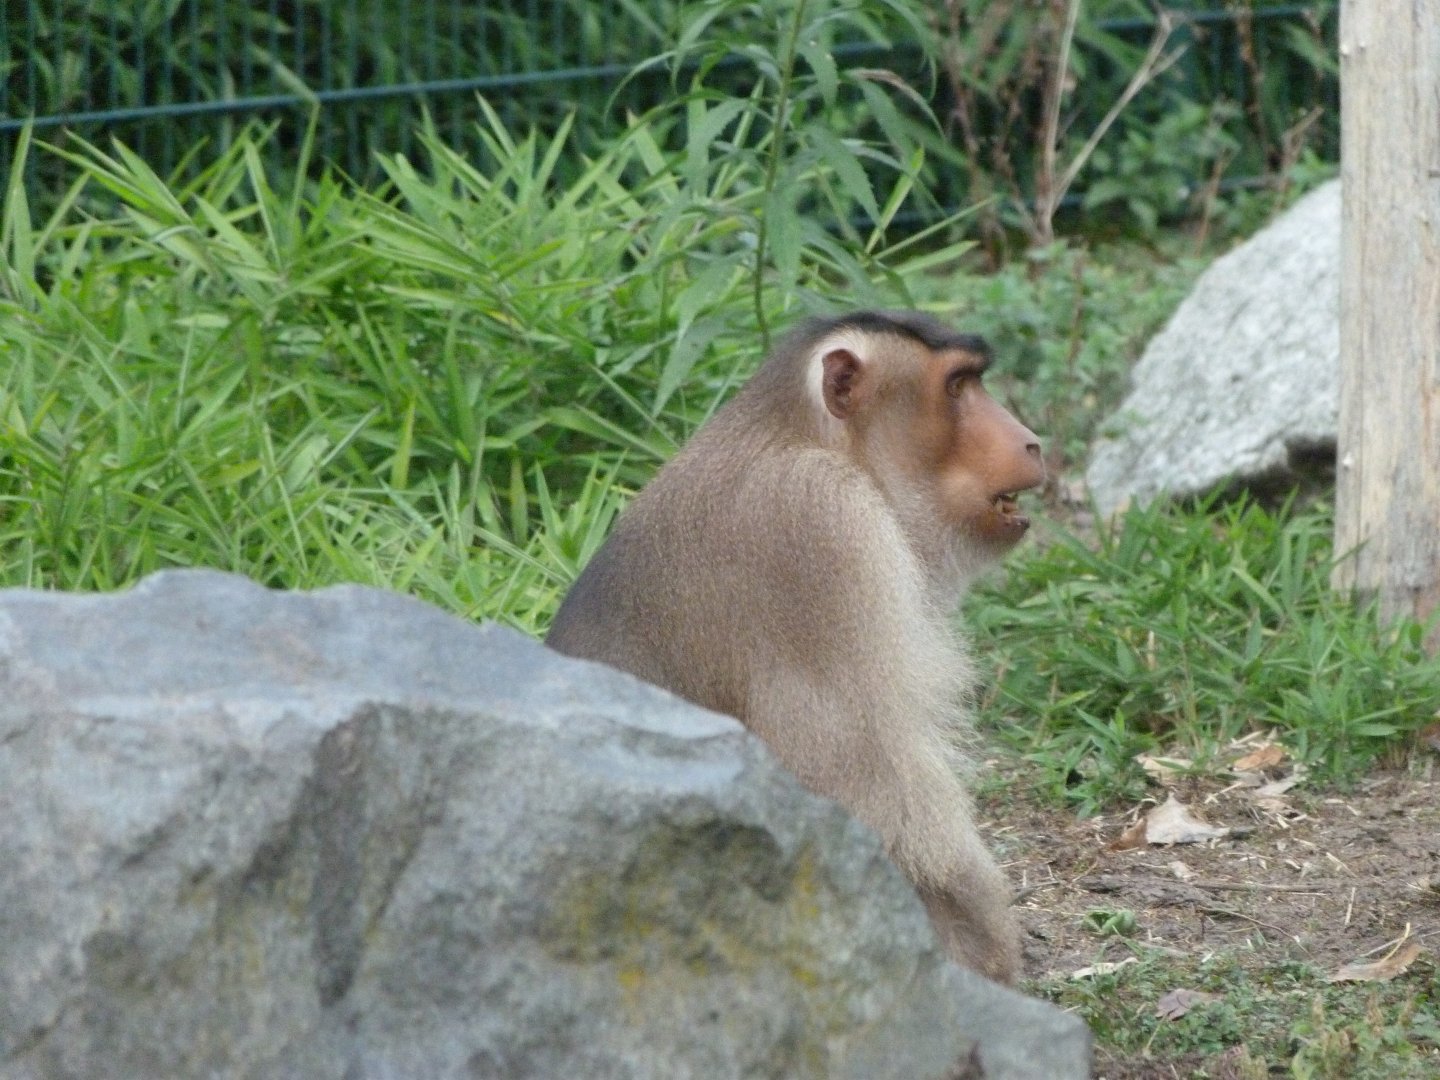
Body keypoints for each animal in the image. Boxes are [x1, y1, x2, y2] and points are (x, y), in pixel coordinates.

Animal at [547, 310, 1046, 984]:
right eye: (958, 388)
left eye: (974, 381)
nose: (1032, 441)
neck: (810, 440)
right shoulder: (824, 526)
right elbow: (861, 790)